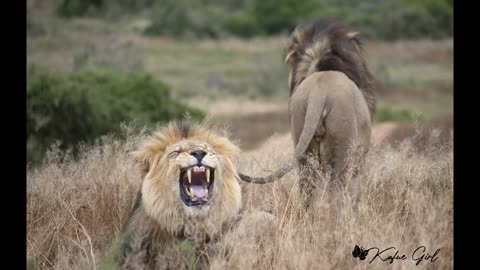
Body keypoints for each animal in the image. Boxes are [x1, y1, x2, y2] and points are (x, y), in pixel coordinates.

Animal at [239, 19, 376, 209]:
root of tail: (318, 94)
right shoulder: (359, 159)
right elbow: (354, 193)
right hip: (342, 149)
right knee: (337, 192)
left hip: (303, 148)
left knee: (307, 190)